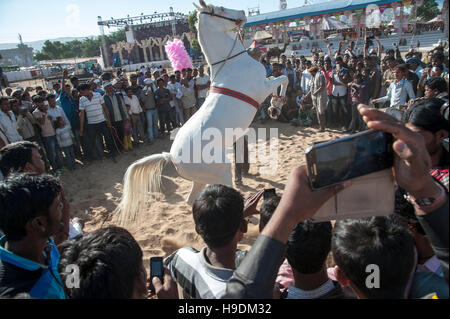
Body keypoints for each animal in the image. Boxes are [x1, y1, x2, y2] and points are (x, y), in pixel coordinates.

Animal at [117, 0, 288, 225]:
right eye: (220, 9)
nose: (243, 13)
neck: (233, 63)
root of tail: (171, 156)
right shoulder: (262, 88)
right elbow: (284, 77)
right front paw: (277, 105)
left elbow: (282, 79)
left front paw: (274, 107)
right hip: (222, 169)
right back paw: (248, 217)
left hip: (201, 179)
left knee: (191, 200)